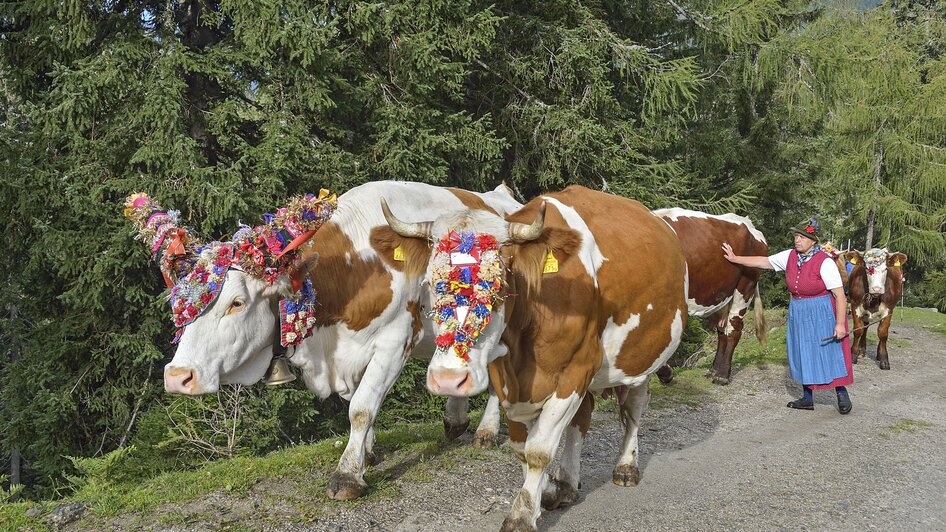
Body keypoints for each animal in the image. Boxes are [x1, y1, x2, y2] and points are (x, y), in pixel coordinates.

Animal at [384, 185, 684, 528]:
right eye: (430, 283)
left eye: (497, 286)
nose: (448, 380)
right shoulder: (506, 379)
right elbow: (521, 448)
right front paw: (544, 492)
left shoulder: (576, 370)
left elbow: (538, 450)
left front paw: (522, 514)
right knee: (582, 419)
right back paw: (565, 485)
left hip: (643, 356)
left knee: (633, 410)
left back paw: (626, 467)